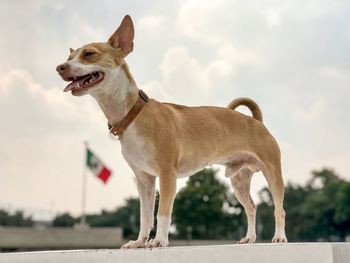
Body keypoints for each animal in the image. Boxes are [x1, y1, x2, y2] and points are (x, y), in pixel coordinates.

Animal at [56, 14, 288, 250]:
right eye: (69, 56)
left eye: (89, 54)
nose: (60, 67)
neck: (133, 114)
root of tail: (256, 120)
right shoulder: (145, 181)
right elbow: (145, 216)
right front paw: (140, 242)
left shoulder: (167, 175)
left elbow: (162, 213)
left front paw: (159, 240)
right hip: (239, 180)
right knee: (251, 207)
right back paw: (249, 238)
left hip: (273, 174)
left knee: (279, 209)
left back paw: (279, 237)